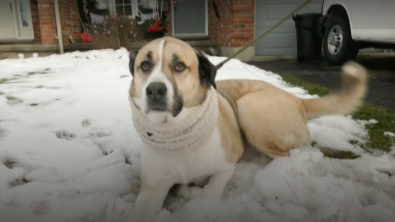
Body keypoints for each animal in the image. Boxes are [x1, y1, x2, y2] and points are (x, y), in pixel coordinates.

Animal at [128, 37, 370, 221]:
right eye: (145, 66)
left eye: (179, 66)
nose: (155, 90)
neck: (176, 134)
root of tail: (297, 99)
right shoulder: (153, 188)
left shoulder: (224, 168)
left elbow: (208, 194)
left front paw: (192, 191)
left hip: (250, 109)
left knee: (296, 154)